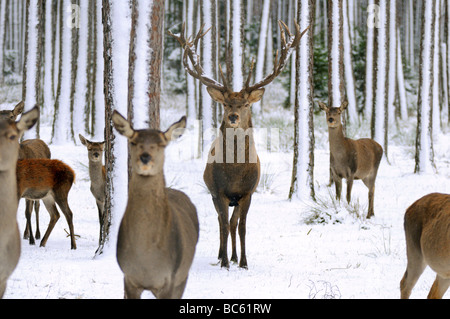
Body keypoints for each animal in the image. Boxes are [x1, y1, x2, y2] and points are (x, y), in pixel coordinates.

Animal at [112, 110, 199, 300]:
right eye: (133, 141)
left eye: (161, 144)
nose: (145, 157)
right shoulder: (129, 277)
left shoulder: (169, 278)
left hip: (183, 275)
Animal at [169, 20, 310, 270]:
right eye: (225, 103)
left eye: (245, 104)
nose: (233, 117)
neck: (234, 172)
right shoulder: (218, 192)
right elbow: (224, 225)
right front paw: (225, 261)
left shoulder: (248, 192)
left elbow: (242, 227)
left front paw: (243, 261)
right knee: (221, 222)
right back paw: (221, 255)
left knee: (233, 224)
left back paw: (234, 256)